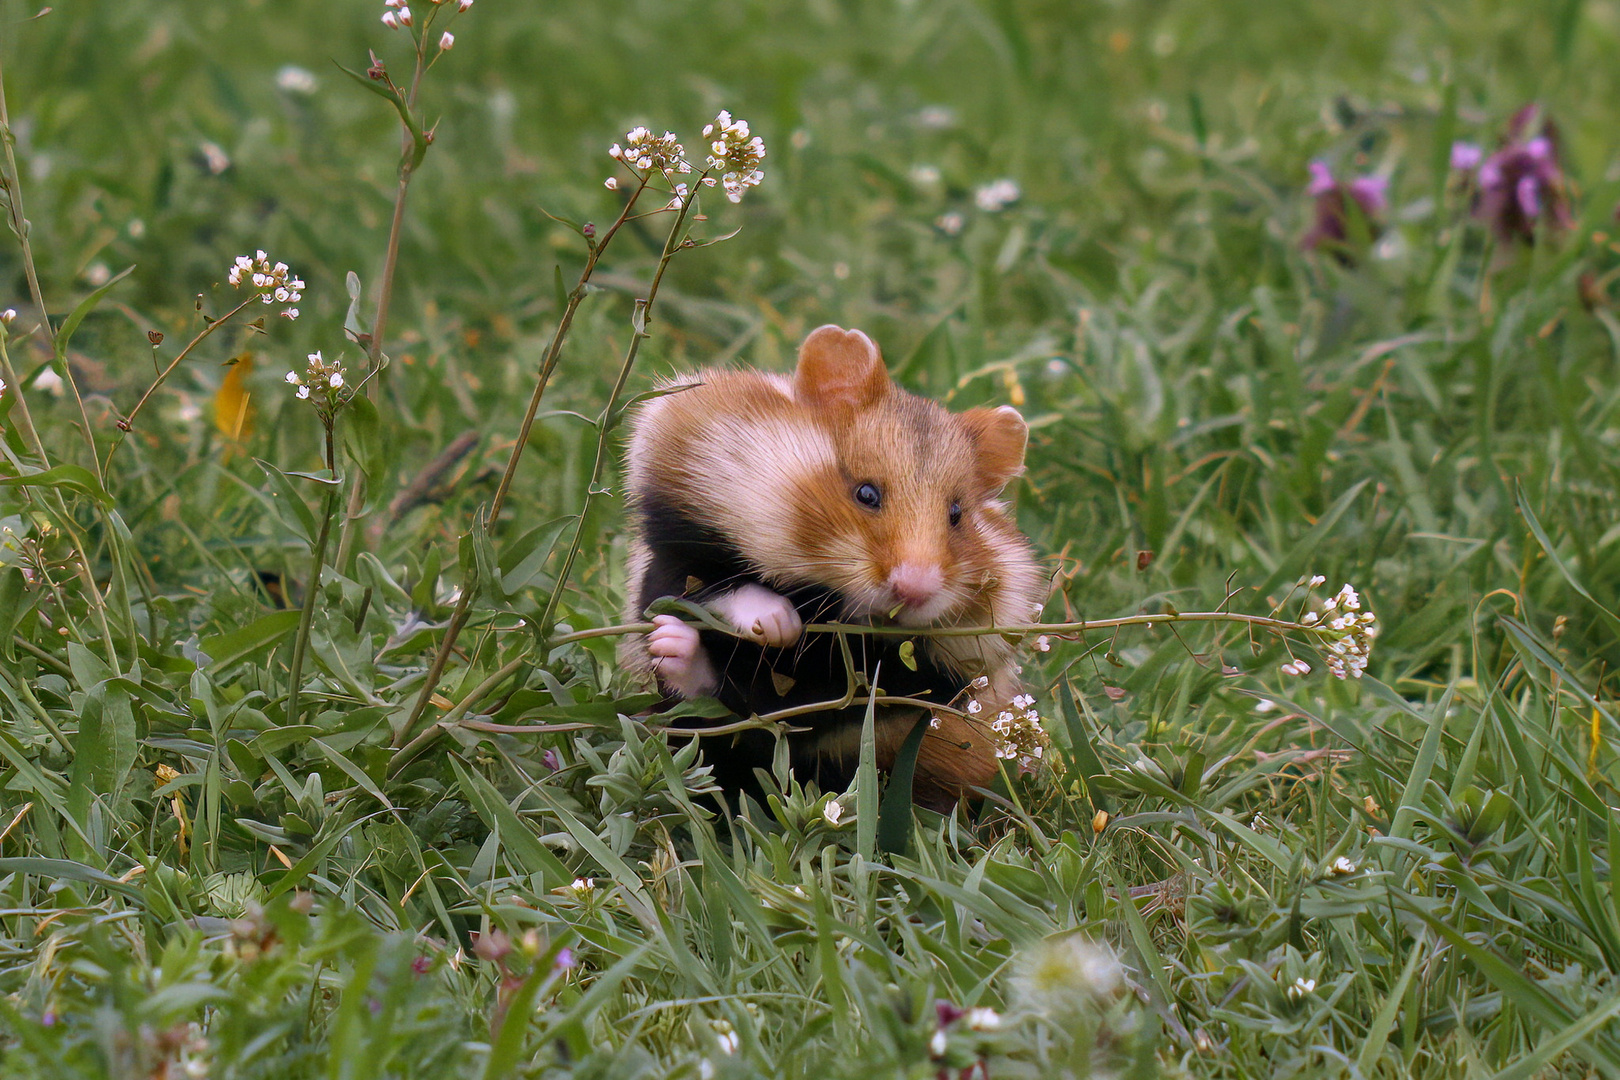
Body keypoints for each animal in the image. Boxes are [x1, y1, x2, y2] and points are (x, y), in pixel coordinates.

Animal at [612, 323, 1043, 809]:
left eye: (957, 515)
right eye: (866, 493)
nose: (914, 590)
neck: (827, 600)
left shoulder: (924, 677)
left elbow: (815, 702)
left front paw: (781, 632)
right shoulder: (676, 531)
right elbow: (706, 585)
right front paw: (779, 624)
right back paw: (672, 643)